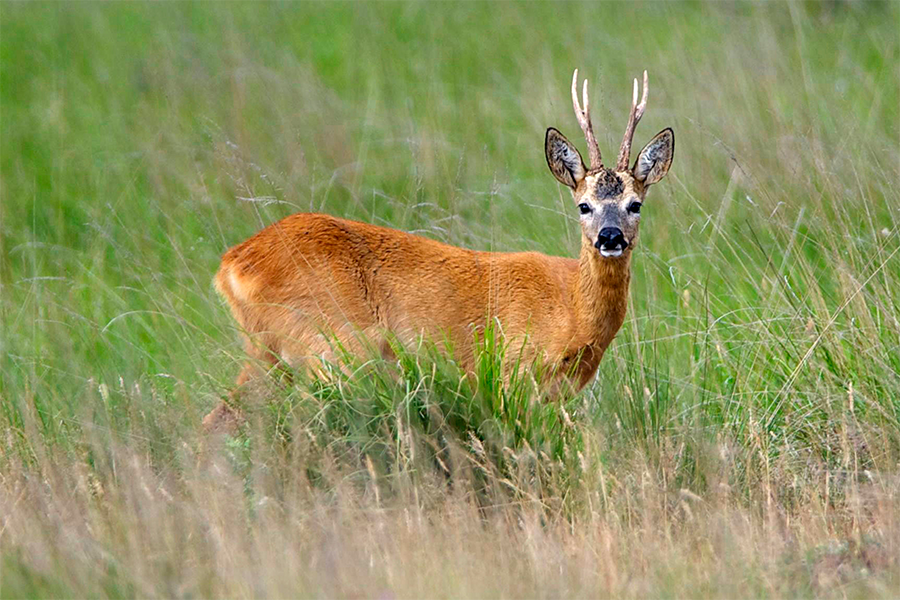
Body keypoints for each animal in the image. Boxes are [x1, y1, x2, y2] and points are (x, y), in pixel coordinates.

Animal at [202, 69, 668, 432]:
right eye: (583, 205)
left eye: (635, 204)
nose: (610, 237)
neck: (569, 308)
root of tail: (231, 264)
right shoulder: (511, 374)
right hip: (329, 346)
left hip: (269, 351)